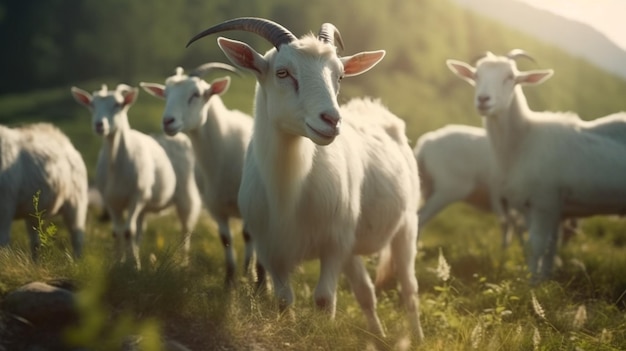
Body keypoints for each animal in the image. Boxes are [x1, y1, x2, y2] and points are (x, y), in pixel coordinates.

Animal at [0, 123, 88, 258]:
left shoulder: (5, 207)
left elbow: (3, 242)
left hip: (76, 202)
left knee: (77, 238)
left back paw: (76, 261)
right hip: (32, 212)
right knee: (35, 243)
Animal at [72, 83, 201, 270]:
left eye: (118, 104)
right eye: (92, 104)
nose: (99, 125)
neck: (115, 164)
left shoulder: (136, 196)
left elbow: (128, 231)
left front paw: (134, 265)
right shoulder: (110, 200)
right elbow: (117, 232)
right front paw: (119, 261)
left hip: (185, 193)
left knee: (186, 229)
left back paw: (183, 262)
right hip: (144, 204)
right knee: (140, 230)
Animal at [446, 51, 626, 284]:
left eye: (511, 77)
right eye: (476, 75)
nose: (483, 100)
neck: (524, 140)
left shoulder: (544, 202)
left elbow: (538, 245)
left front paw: (532, 286)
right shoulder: (533, 206)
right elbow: (542, 248)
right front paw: (541, 280)